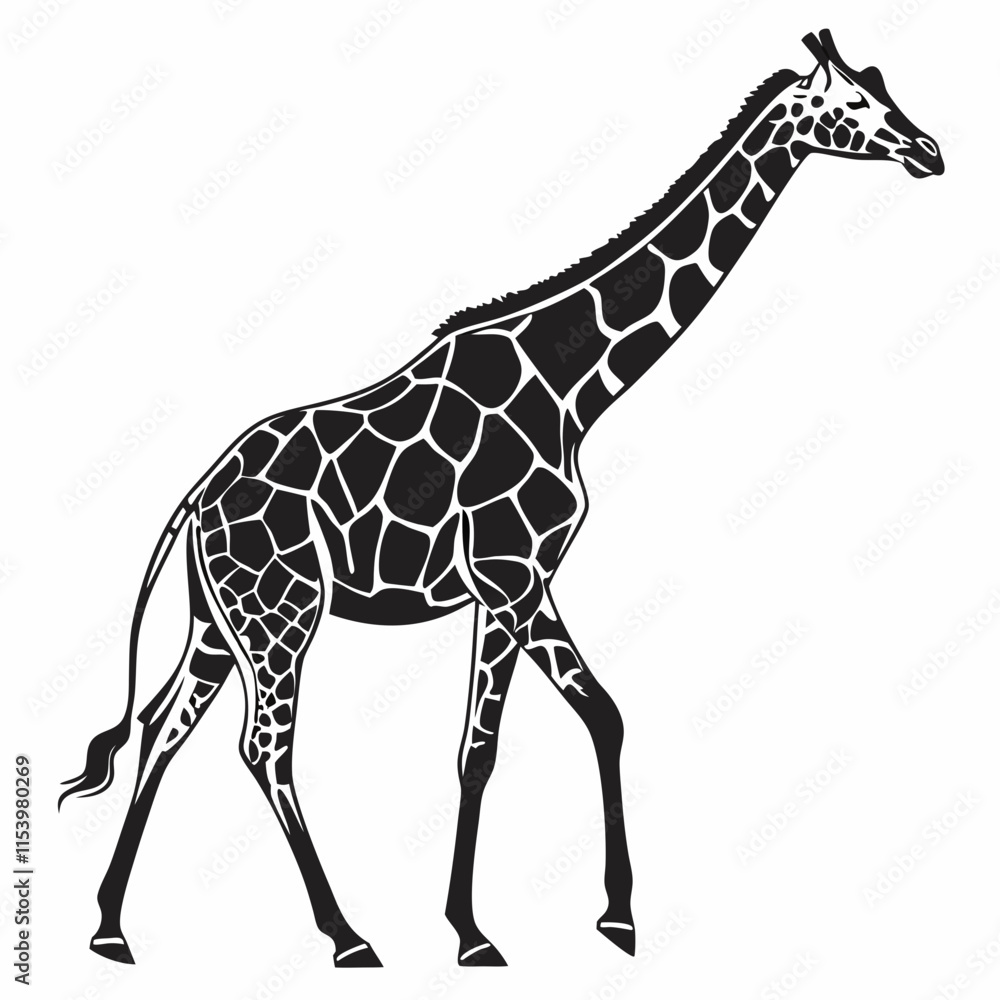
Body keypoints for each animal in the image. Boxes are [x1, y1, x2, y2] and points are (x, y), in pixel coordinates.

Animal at [60, 30, 942, 969]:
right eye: (854, 104)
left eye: (884, 86)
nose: (929, 150)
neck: (571, 386)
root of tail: (196, 496)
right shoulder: (510, 576)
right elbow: (539, 733)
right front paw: (540, 926)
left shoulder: (516, 585)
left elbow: (542, 732)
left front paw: (546, 924)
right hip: (282, 614)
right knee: (262, 749)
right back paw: (347, 936)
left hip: (218, 621)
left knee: (163, 730)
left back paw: (111, 928)